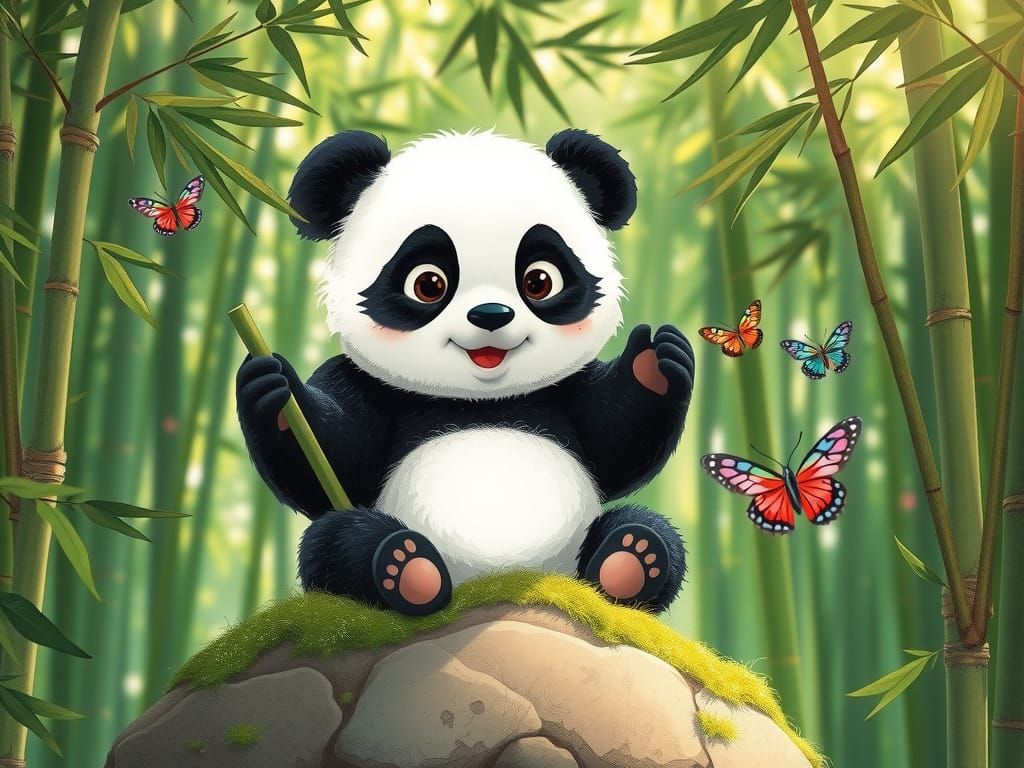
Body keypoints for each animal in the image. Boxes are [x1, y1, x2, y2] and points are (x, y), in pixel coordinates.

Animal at [236, 129, 695, 616]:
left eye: (539, 280)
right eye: (428, 283)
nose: (491, 314)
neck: (478, 399)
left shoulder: (564, 391)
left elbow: (616, 441)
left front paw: (654, 360)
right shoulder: (366, 388)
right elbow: (333, 461)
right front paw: (275, 388)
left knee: (650, 528)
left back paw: (630, 559)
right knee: (334, 542)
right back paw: (406, 567)